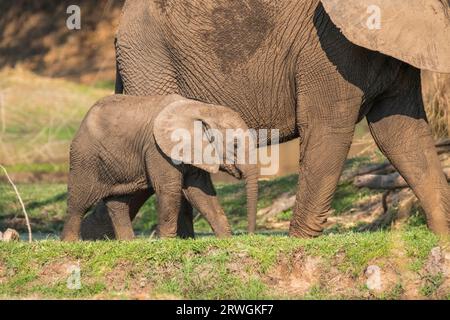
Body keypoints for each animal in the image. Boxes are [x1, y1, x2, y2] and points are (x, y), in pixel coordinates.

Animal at [60, 94, 258, 241]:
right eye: (235, 144)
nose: (249, 236)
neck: (203, 108)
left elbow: (200, 192)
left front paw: (226, 240)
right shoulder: (157, 149)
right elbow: (169, 189)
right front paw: (166, 242)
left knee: (119, 202)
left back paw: (128, 243)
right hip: (85, 158)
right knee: (79, 202)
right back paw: (70, 243)